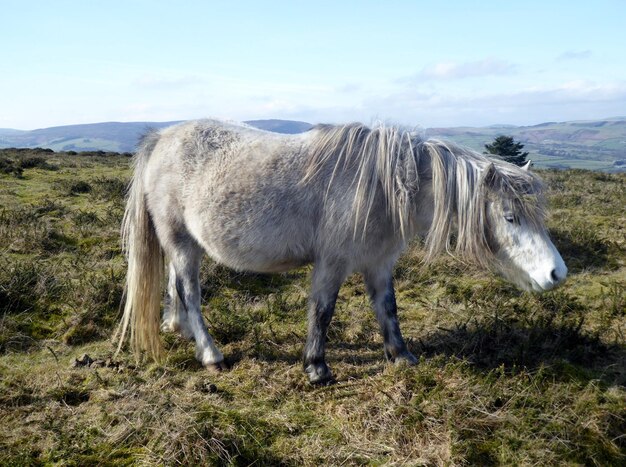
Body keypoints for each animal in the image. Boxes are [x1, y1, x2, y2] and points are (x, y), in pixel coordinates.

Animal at [113, 119, 564, 384]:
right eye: (510, 217)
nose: (557, 274)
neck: (382, 187)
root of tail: (160, 138)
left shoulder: (379, 262)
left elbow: (388, 309)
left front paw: (401, 356)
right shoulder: (332, 263)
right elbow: (323, 311)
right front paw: (316, 367)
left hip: (183, 242)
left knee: (176, 285)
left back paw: (182, 330)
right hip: (180, 241)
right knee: (190, 291)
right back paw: (210, 353)